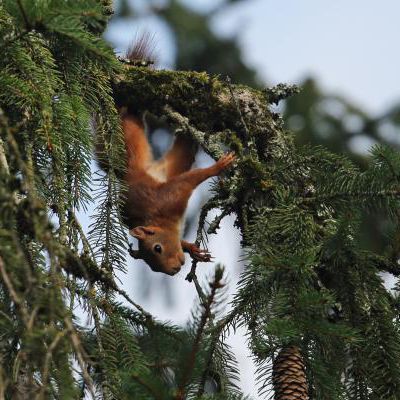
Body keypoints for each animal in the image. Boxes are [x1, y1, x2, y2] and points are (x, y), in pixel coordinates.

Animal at [122, 112, 234, 276]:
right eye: (153, 267)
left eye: (157, 248)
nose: (173, 270)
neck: (165, 222)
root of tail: (132, 174)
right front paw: (193, 249)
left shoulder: (172, 196)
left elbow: (191, 178)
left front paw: (218, 167)